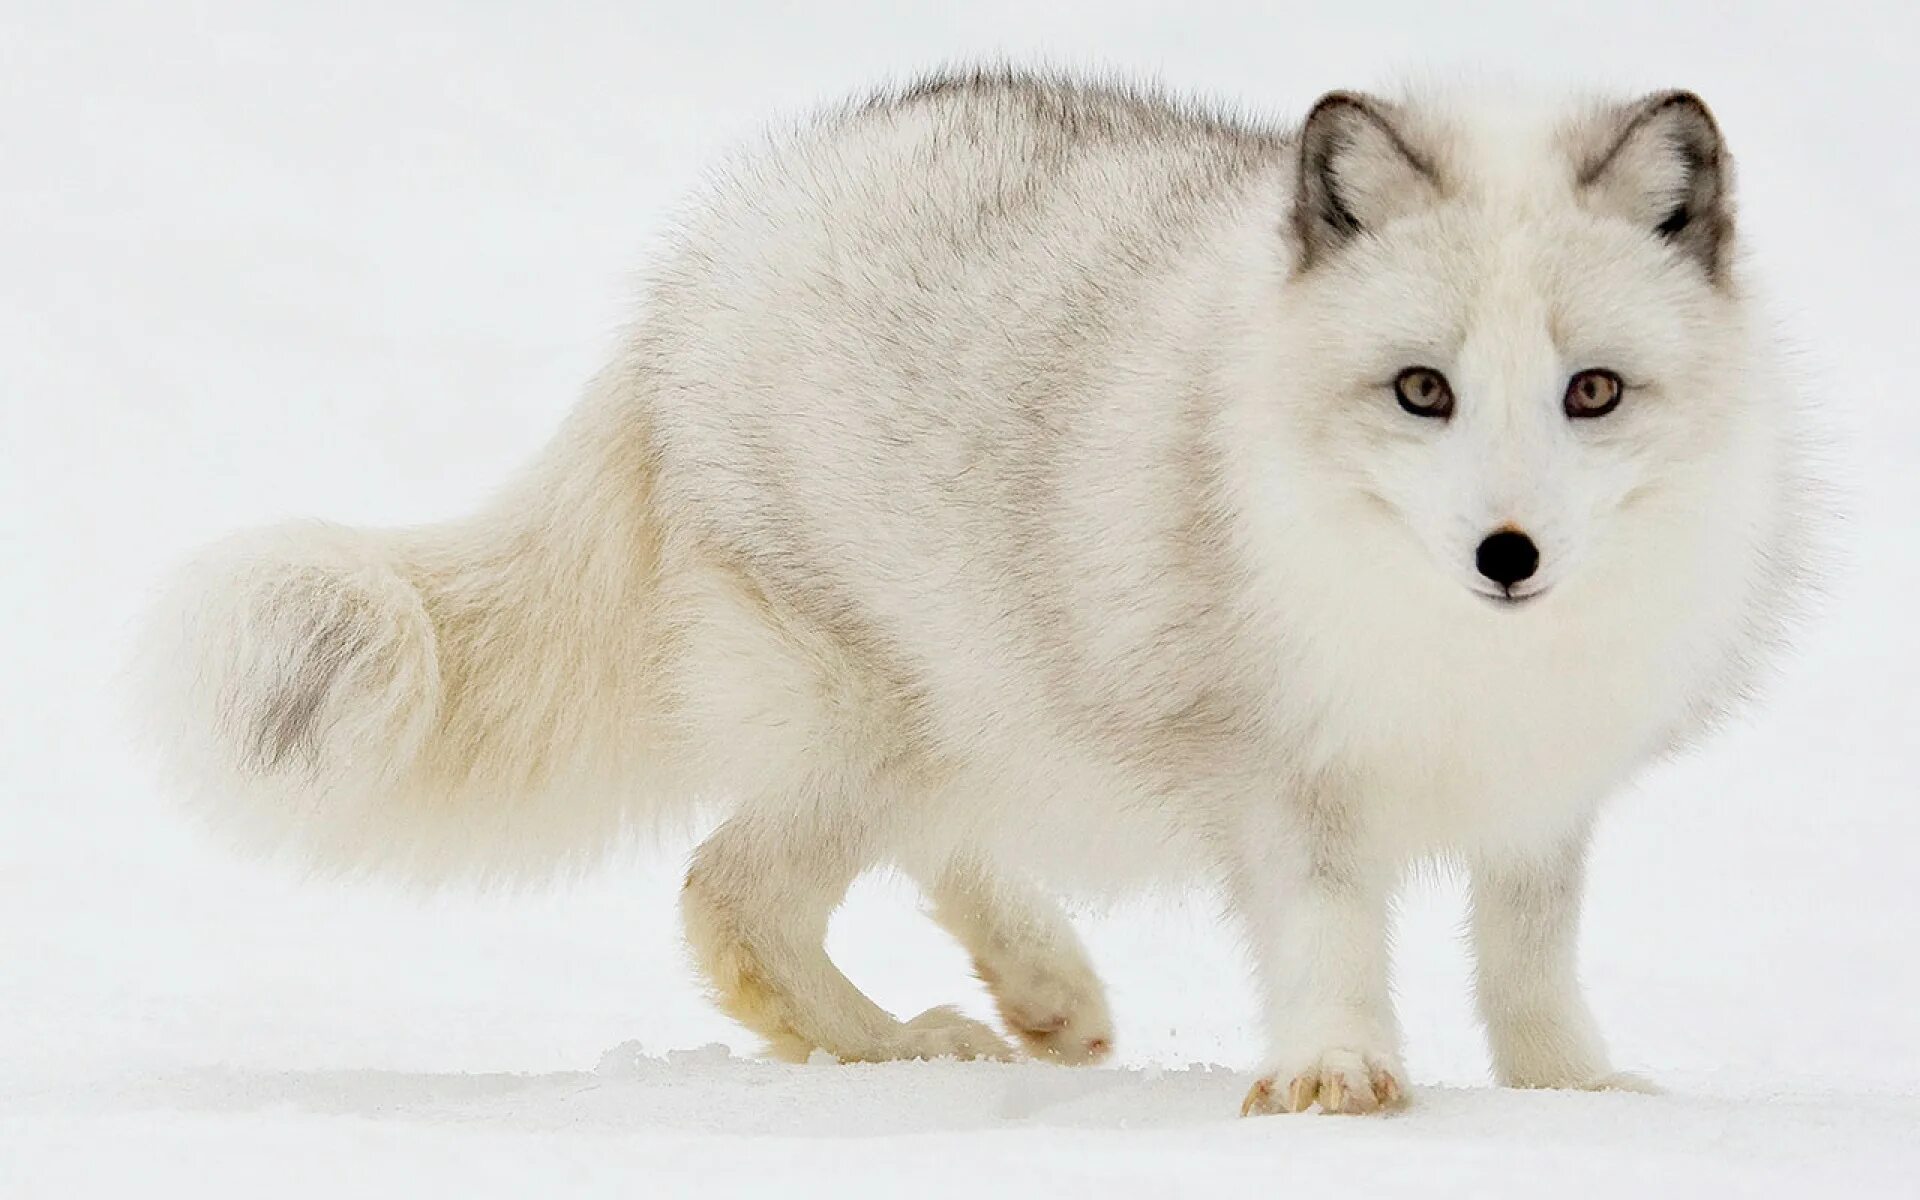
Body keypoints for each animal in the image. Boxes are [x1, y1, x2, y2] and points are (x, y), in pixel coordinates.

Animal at [139, 67, 1812, 1113]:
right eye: (1422, 390)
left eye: (1592, 391)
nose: (1507, 556)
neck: (1453, 652)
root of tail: (698, 267)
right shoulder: (1281, 775)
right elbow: (1334, 936)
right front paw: (1338, 1079)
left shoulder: (1544, 790)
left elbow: (1531, 959)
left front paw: (1574, 1097)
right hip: (879, 716)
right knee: (726, 897)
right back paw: (907, 1052)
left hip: (968, 709)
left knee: (919, 852)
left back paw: (1043, 992)